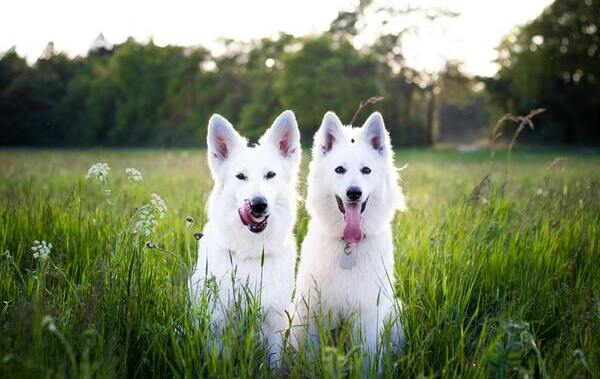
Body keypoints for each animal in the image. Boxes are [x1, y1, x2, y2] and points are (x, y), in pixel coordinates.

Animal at [190, 110, 302, 366]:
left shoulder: (275, 321)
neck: (251, 254)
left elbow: (274, 363)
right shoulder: (217, 323)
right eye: (240, 176)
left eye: (270, 175)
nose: (258, 204)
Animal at [292, 112, 406, 360]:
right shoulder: (312, 311)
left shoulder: (368, 313)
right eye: (339, 170)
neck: (348, 246)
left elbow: (367, 358)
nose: (354, 192)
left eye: (366, 171)